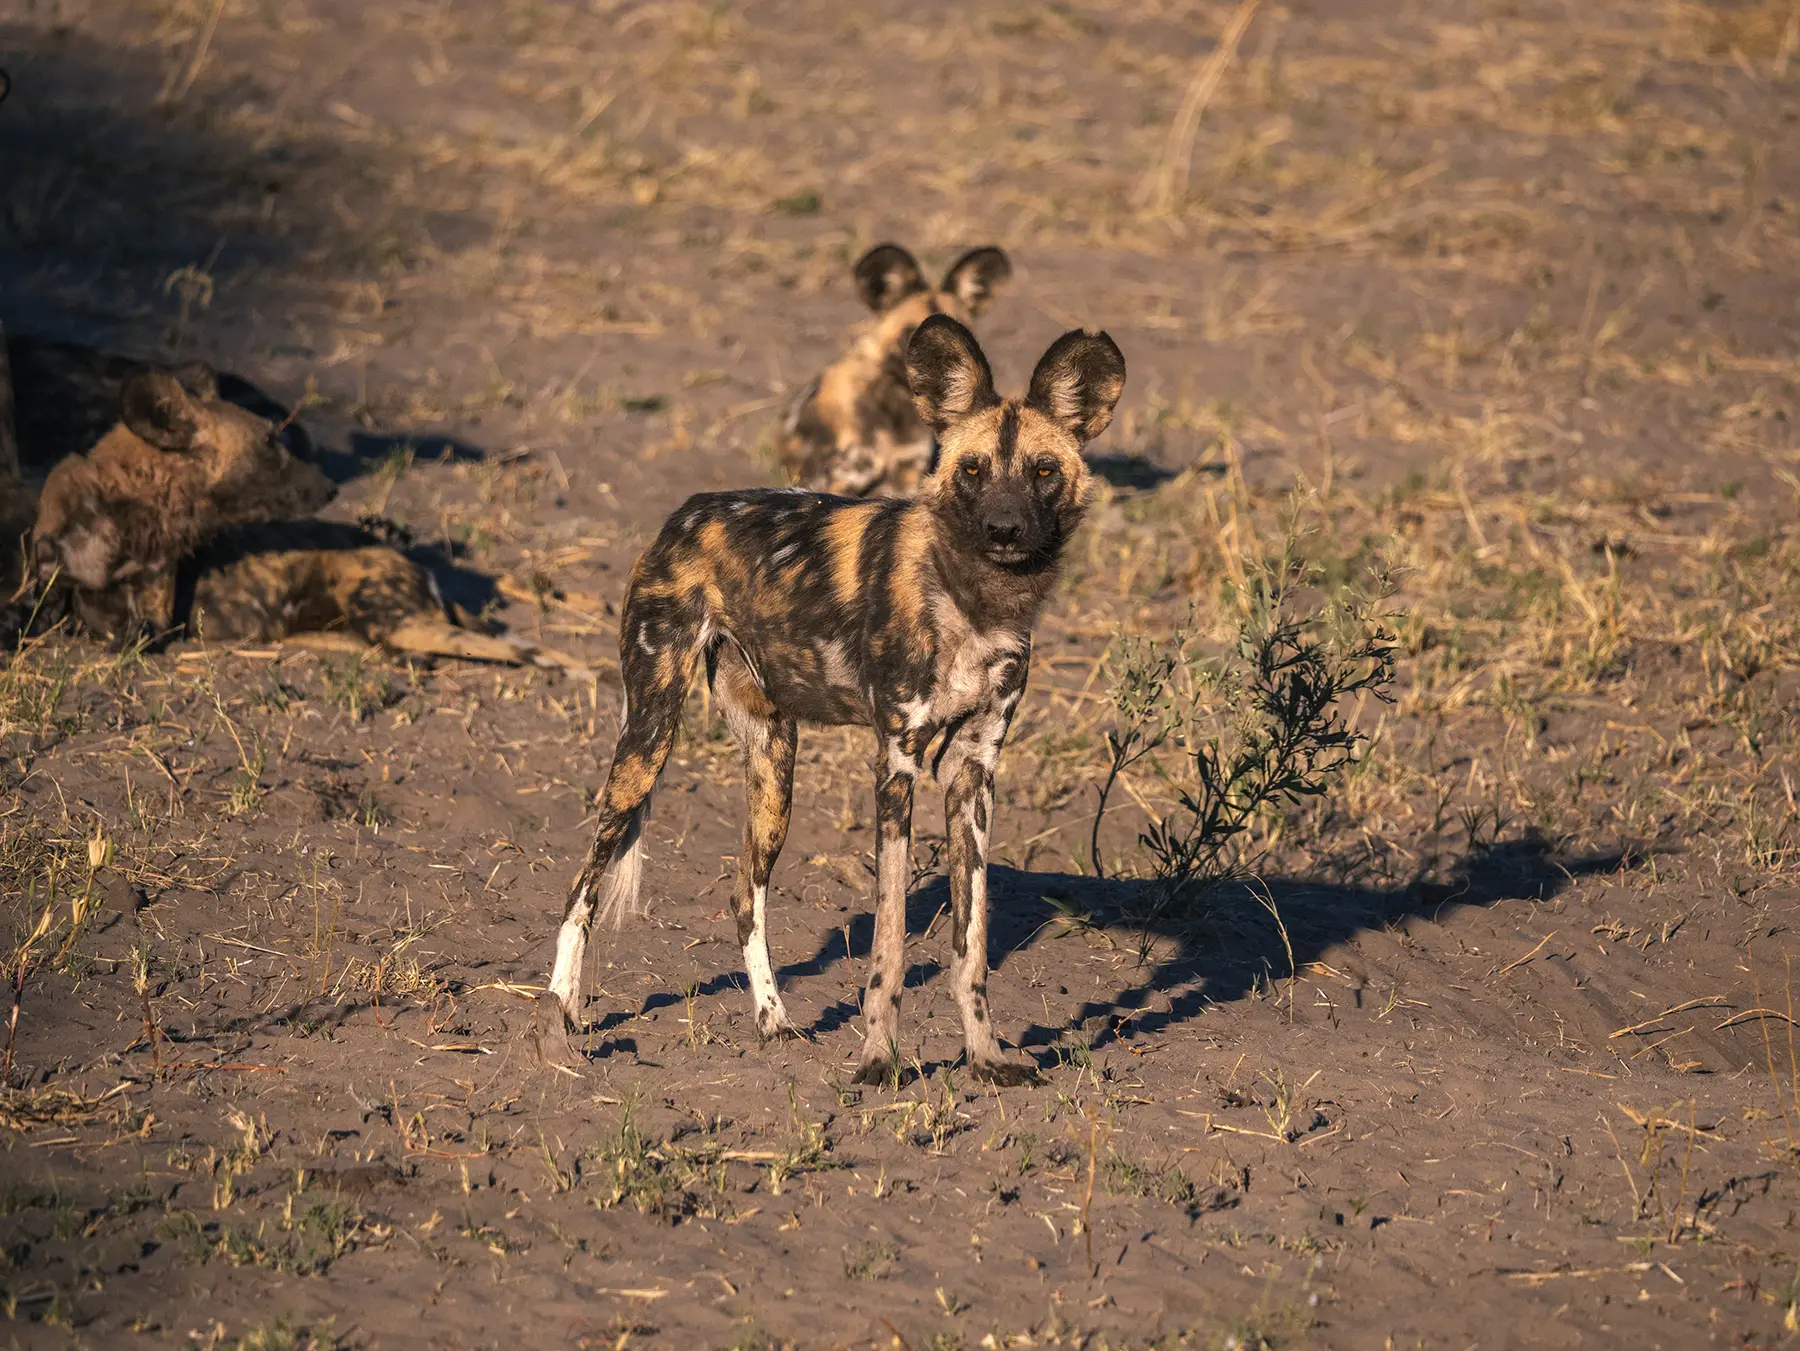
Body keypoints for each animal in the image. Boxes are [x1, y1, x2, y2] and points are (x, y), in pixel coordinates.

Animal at [536, 311, 1123, 1086]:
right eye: (972, 470)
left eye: (1043, 471)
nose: (1004, 529)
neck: (974, 600)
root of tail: (687, 510)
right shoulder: (897, 766)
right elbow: (891, 943)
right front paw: (880, 1059)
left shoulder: (974, 772)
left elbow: (969, 944)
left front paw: (986, 1058)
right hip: (649, 738)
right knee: (582, 886)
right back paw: (559, 1017)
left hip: (774, 768)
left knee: (743, 894)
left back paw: (772, 1020)